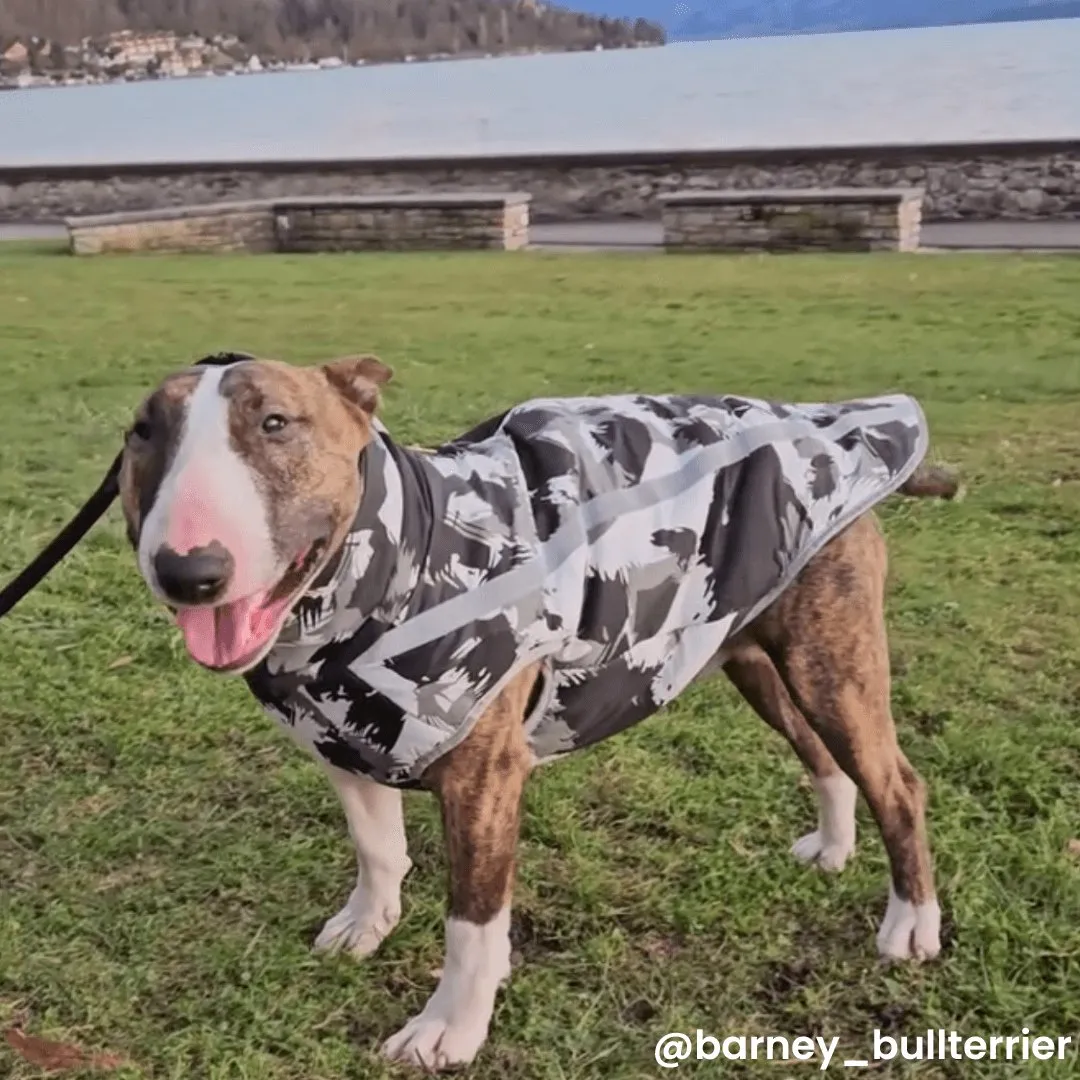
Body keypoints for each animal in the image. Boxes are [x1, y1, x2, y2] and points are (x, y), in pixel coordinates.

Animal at [118, 354, 959, 1071]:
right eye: (142, 432)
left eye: (275, 423)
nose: (188, 572)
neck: (389, 566)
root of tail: (832, 428)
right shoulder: (345, 742)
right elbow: (377, 848)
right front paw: (367, 926)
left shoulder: (485, 778)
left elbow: (471, 921)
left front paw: (448, 1030)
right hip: (753, 652)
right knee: (824, 757)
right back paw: (833, 846)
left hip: (832, 659)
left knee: (896, 783)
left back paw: (910, 926)